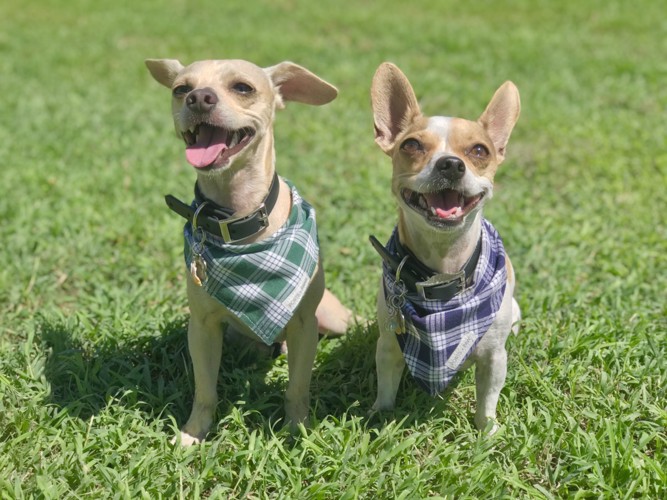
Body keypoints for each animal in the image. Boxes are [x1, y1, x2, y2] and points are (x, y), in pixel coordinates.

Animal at [146, 58, 354, 446]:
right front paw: (193, 434)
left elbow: (297, 388)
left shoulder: (304, 326)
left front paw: (296, 430)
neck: (237, 216)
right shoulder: (202, 328)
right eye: (181, 89)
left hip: (332, 319)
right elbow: (205, 390)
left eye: (243, 87)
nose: (198, 97)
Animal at [370, 62, 520, 432]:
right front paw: (379, 418)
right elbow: (386, 389)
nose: (451, 163)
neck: (444, 271)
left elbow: (488, 399)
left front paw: (487, 430)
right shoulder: (388, 347)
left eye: (480, 151)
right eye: (411, 145)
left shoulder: (494, 358)